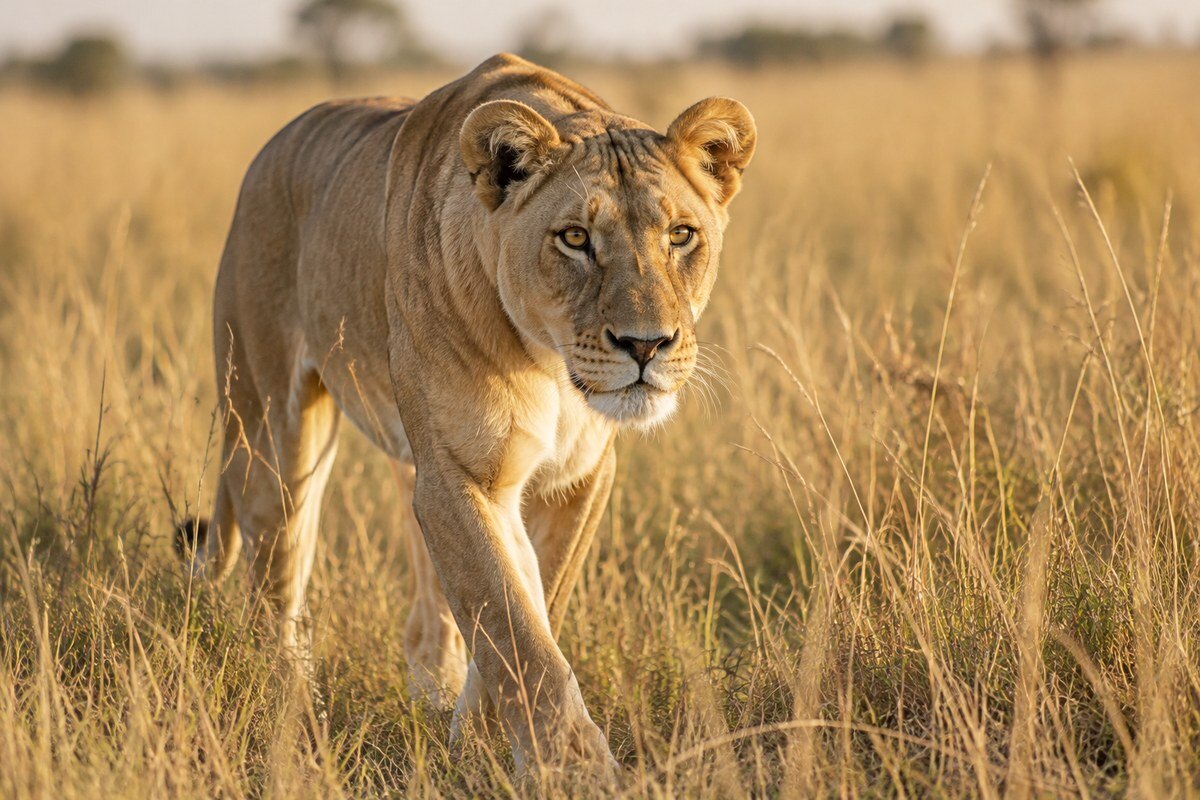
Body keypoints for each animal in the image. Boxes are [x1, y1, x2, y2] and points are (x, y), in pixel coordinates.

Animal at [177, 53, 755, 772]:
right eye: (574, 238)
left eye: (681, 235)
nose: (646, 345)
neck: (550, 365)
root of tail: (272, 147)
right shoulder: (461, 474)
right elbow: (513, 622)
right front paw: (573, 769)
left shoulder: (577, 479)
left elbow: (528, 601)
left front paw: (475, 739)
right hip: (272, 432)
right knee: (275, 578)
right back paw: (291, 706)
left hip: (401, 457)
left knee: (424, 611)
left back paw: (431, 694)